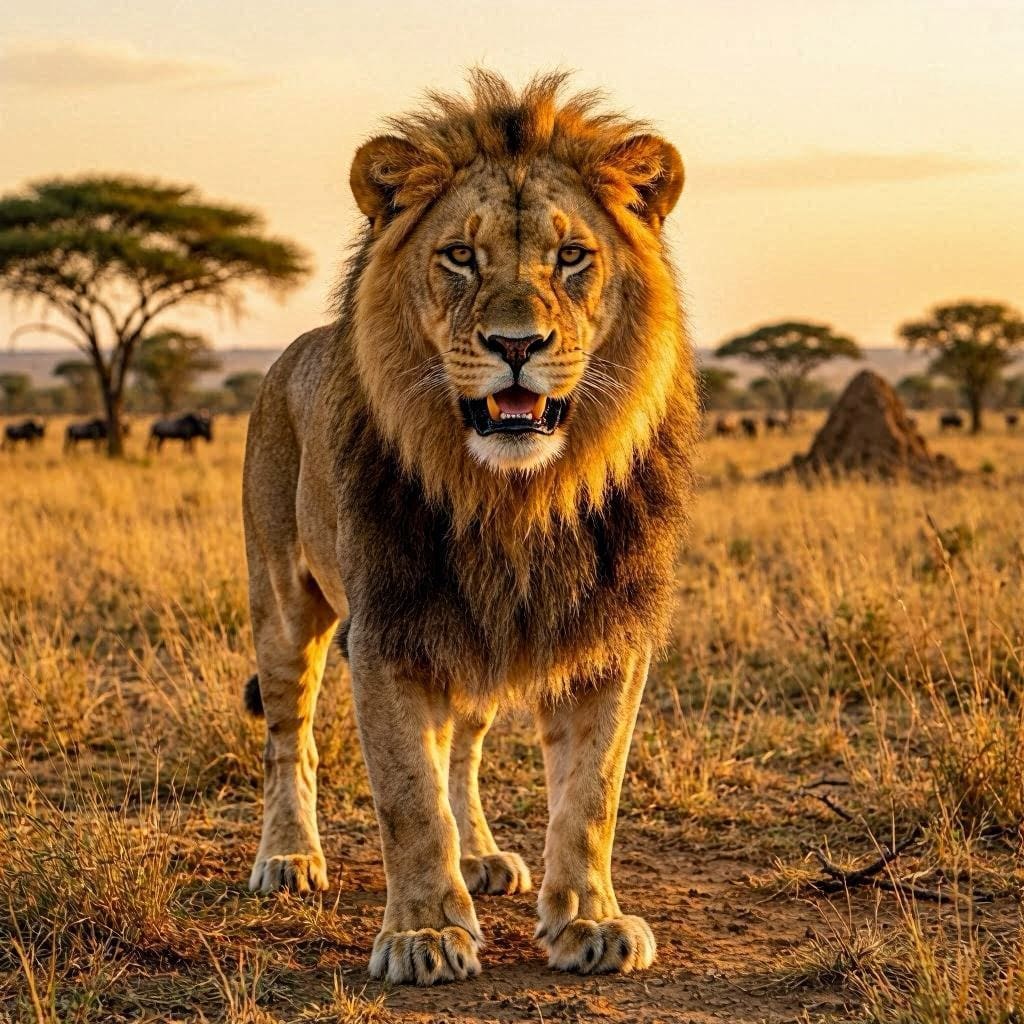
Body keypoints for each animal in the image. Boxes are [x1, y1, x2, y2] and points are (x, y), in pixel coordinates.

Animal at [241, 70, 697, 985]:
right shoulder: (386, 630)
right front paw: (422, 934)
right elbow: (409, 799)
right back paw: (288, 857)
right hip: (284, 606)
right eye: (460, 256)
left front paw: (589, 921)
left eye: (571, 256)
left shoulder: (611, 634)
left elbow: (590, 794)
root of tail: (286, 354)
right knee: (289, 737)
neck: (516, 496)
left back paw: (482, 855)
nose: (516, 344)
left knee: (465, 746)